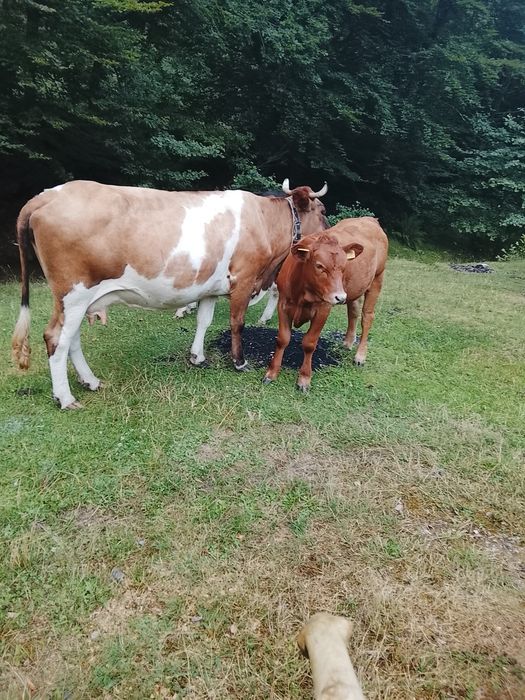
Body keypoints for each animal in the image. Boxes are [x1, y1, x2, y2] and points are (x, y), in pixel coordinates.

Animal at [11, 179, 328, 408]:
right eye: (323, 211)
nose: (330, 232)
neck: (263, 220)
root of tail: (48, 195)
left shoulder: (210, 287)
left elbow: (204, 321)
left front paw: (197, 356)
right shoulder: (244, 279)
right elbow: (237, 323)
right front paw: (239, 362)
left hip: (77, 300)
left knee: (71, 339)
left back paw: (91, 381)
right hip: (74, 293)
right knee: (56, 339)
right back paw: (65, 398)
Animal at [263, 217, 387, 391]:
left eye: (344, 267)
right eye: (319, 265)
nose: (340, 297)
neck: (302, 290)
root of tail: (369, 219)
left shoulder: (323, 309)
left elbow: (309, 343)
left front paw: (304, 379)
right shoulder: (284, 304)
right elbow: (282, 338)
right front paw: (272, 373)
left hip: (377, 279)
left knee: (367, 317)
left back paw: (360, 356)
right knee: (353, 311)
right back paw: (348, 342)